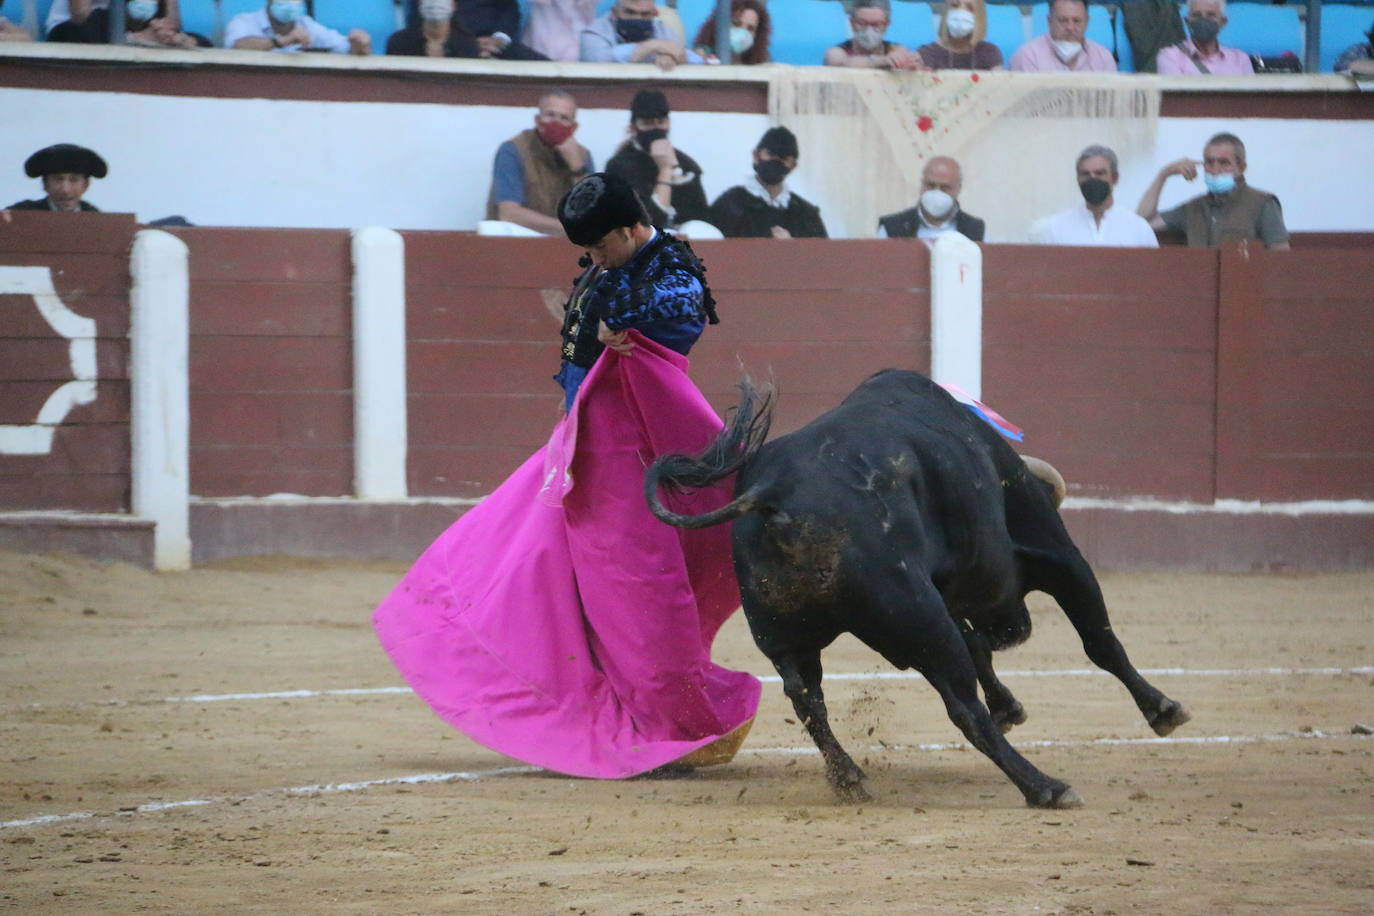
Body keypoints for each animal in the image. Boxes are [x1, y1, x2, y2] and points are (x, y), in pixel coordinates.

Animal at [643, 368, 1192, 807]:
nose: (1015, 630)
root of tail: (771, 492)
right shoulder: (1057, 555)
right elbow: (1100, 640)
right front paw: (1164, 709)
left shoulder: (940, 600)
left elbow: (979, 647)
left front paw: (1010, 705)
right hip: (916, 615)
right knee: (964, 708)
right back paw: (1046, 788)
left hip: (789, 636)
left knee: (807, 700)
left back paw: (849, 777)